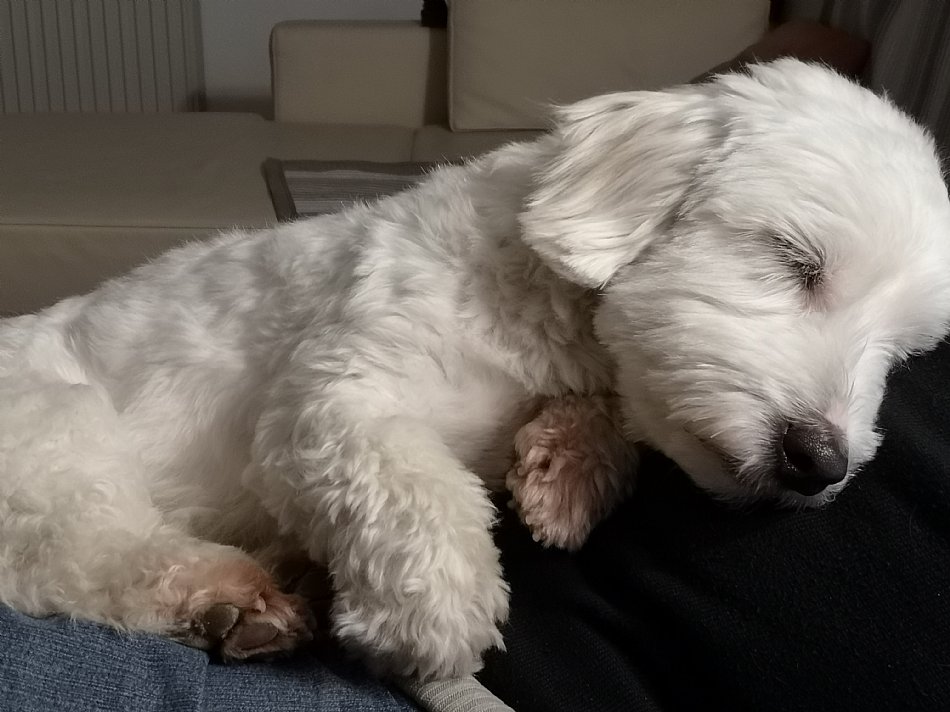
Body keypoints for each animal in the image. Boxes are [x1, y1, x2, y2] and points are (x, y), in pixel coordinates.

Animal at [1, 60, 949, 681]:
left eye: (904, 354)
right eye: (794, 259)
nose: (820, 461)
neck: (536, 304)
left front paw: (570, 468)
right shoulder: (331, 397)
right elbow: (414, 484)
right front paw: (436, 609)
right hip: (60, 432)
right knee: (78, 559)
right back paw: (225, 590)